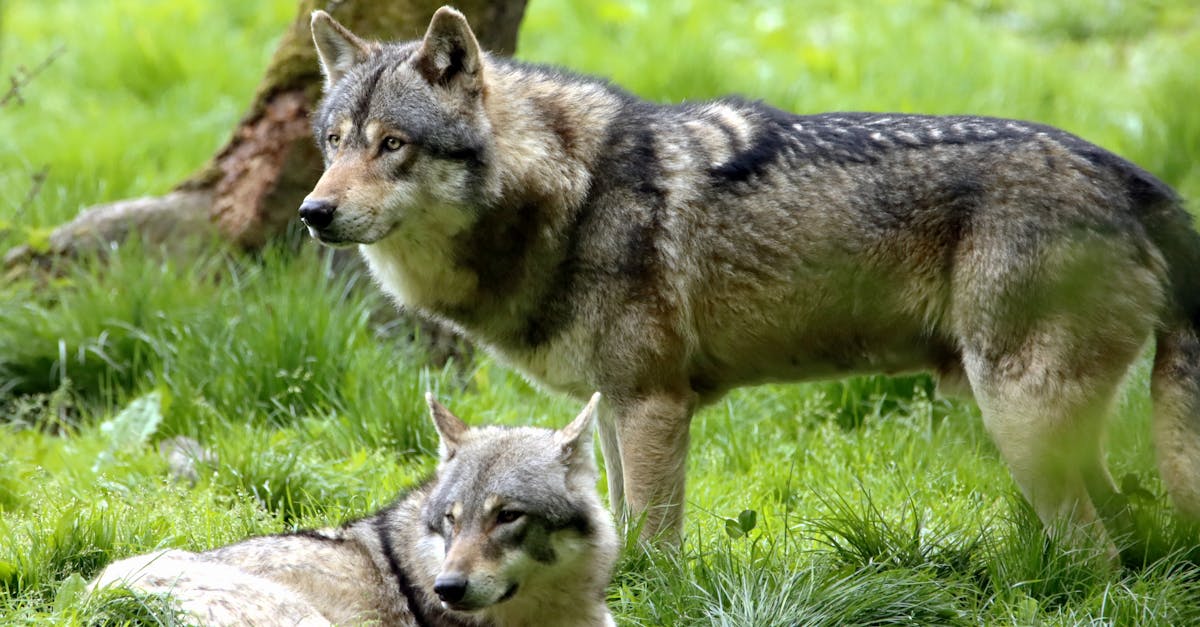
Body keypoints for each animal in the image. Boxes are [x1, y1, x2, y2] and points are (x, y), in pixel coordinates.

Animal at [300, 7, 1200, 549]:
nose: (313, 212)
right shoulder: (616, 407)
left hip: (1021, 423)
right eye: (335, 141)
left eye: (392, 144)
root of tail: (1134, 176)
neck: (572, 193)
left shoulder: (653, 404)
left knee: (1095, 555)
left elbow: (652, 541)